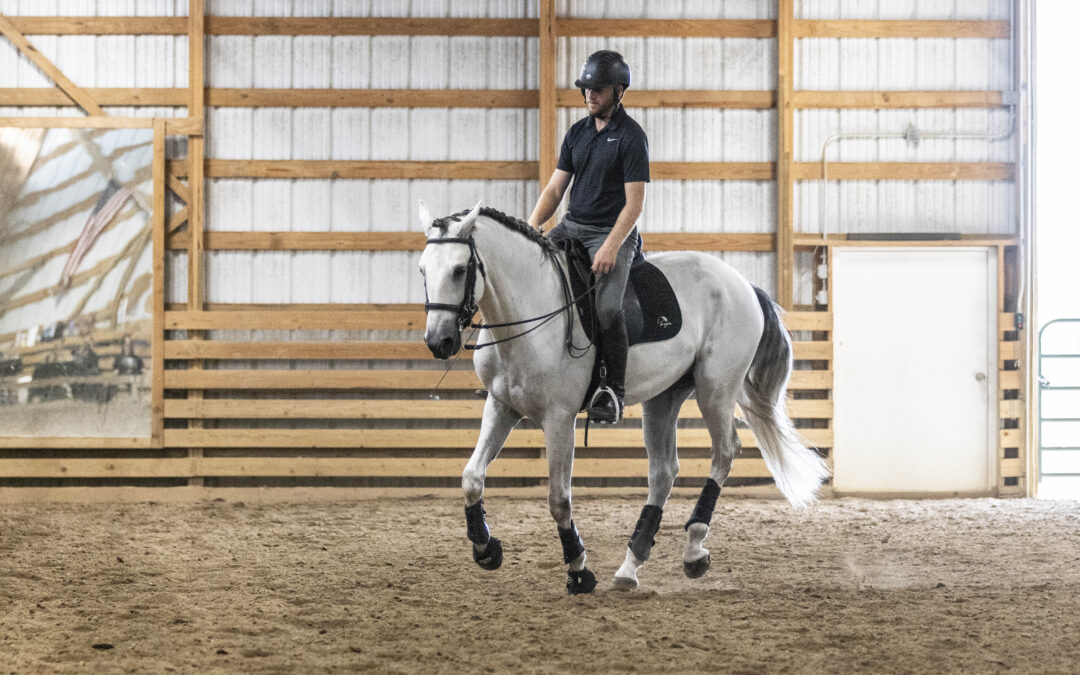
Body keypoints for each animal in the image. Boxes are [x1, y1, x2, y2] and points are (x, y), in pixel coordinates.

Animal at [419, 201, 829, 594]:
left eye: (459, 269)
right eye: (423, 270)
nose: (439, 342)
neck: (530, 308)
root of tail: (743, 283)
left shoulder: (559, 419)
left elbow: (558, 499)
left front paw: (579, 572)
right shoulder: (501, 406)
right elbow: (471, 477)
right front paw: (486, 548)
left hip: (716, 389)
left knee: (725, 451)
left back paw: (693, 548)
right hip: (664, 397)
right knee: (663, 472)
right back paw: (630, 566)